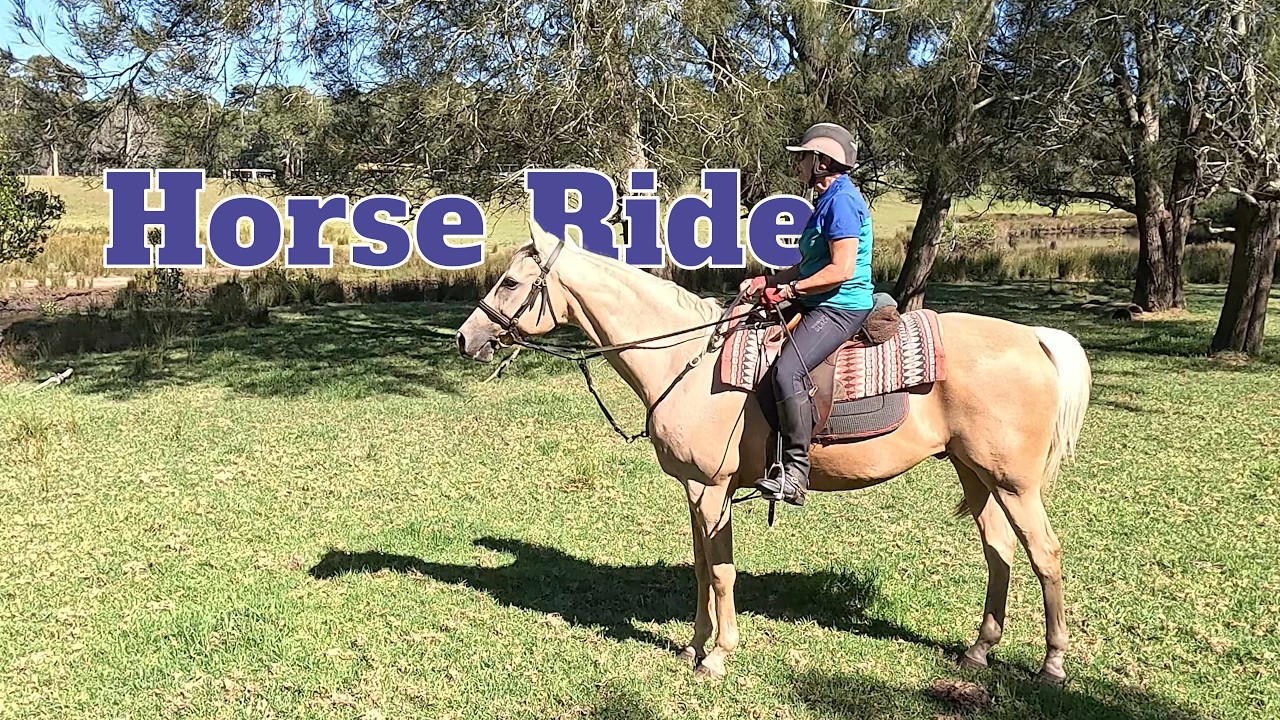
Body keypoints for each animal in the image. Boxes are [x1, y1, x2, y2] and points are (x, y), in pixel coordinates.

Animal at [454, 219, 1092, 685]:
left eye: (510, 283)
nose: (466, 338)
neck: (687, 363)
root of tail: (1033, 338)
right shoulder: (696, 491)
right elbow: (701, 568)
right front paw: (692, 646)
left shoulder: (711, 490)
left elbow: (720, 572)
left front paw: (717, 656)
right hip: (977, 475)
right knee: (999, 553)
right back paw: (979, 651)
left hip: (1015, 485)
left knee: (1046, 556)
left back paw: (1052, 665)